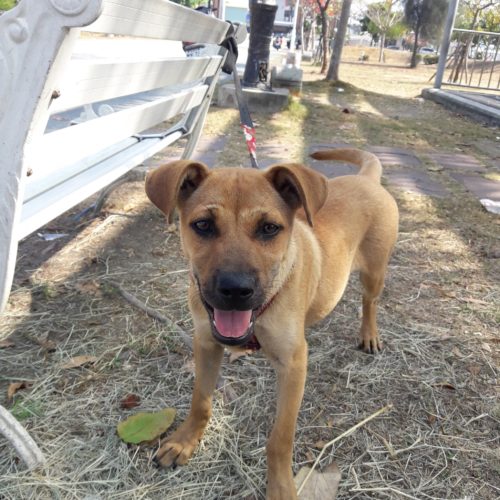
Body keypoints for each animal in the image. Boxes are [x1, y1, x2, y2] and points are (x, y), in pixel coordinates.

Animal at [145, 148, 399, 499]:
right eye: (203, 225)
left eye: (269, 228)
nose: (235, 290)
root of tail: (366, 178)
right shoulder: (206, 343)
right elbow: (201, 400)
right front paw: (185, 441)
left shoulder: (293, 364)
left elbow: (280, 438)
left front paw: (280, 485)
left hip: (374, 272)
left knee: (369, 302)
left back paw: (369, 334)